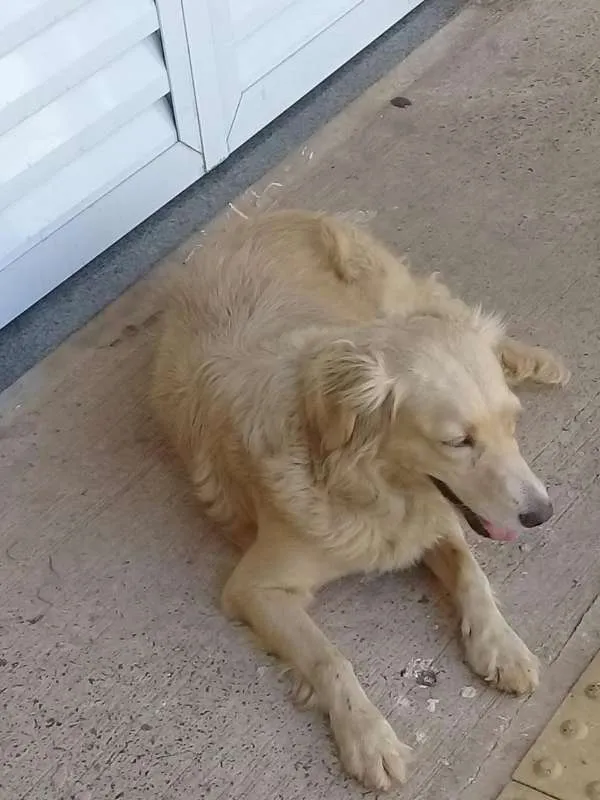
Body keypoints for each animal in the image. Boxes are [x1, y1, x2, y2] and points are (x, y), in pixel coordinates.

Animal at [150, 210, 568, 790]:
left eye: (514, 424)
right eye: (457, 442)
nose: (541, 514)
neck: (372, 490)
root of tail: (274, 213)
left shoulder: (436, 521)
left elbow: (472, 575)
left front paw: (501, 644)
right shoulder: (253, 589)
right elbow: (331, 659)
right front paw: (369, 738)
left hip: (397, 296)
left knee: (455, 307)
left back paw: (534, 357)